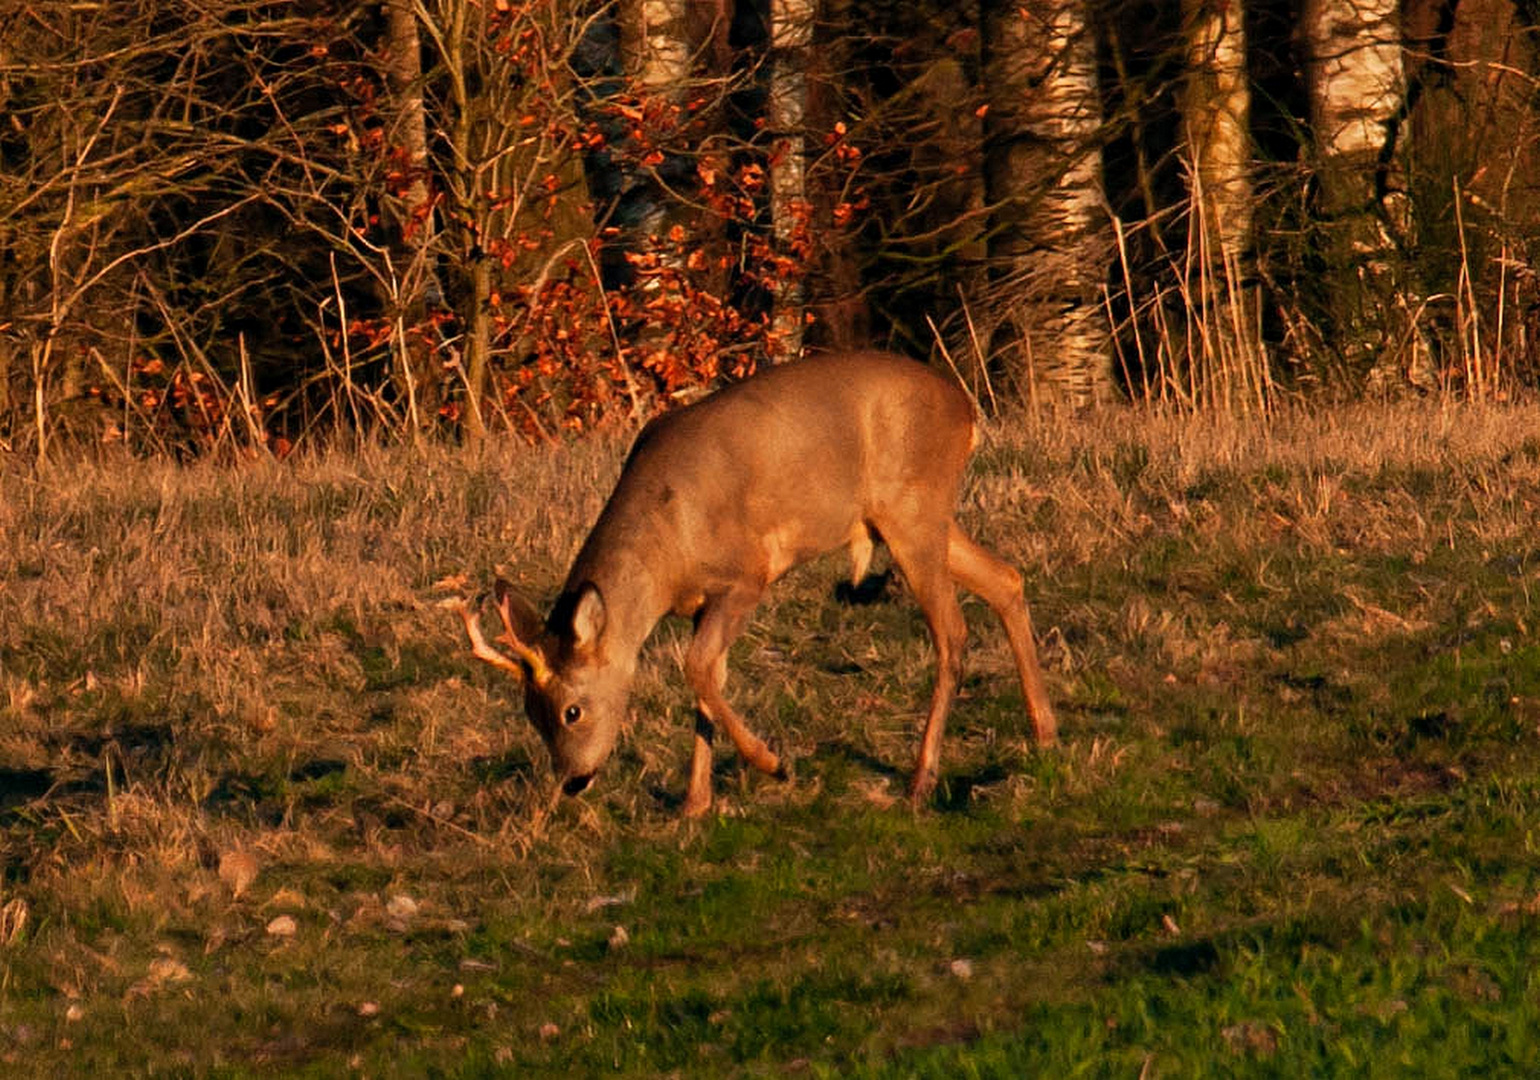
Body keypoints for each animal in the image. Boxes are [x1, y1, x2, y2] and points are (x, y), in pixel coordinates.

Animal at [449, 349, 1059, 813]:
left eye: (572, 711)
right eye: (529, 712)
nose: (573, 780)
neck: (667, 550)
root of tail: (967, 409)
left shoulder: (746, 576)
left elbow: (696, 667)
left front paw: (773, 765)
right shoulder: (701, 603)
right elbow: (706, 679)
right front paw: (694, 806)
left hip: (912, 507)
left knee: (952, 633)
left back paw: (921, 780)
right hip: (918, 517)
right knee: (1006, 578)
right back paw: (1045, 732)